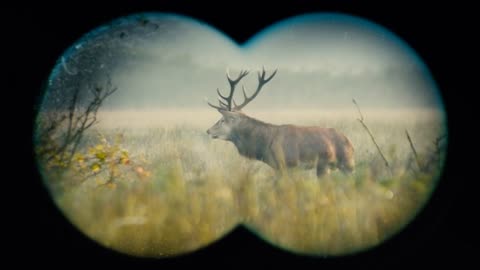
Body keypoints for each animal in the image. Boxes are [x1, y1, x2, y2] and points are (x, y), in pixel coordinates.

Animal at [206, 67, 356, 177]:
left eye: (222, 120)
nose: (208, 131)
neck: (266, 144)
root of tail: (350, 143)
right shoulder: (278, 167)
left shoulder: (287, 165)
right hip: (328, 167)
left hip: (345, 164)